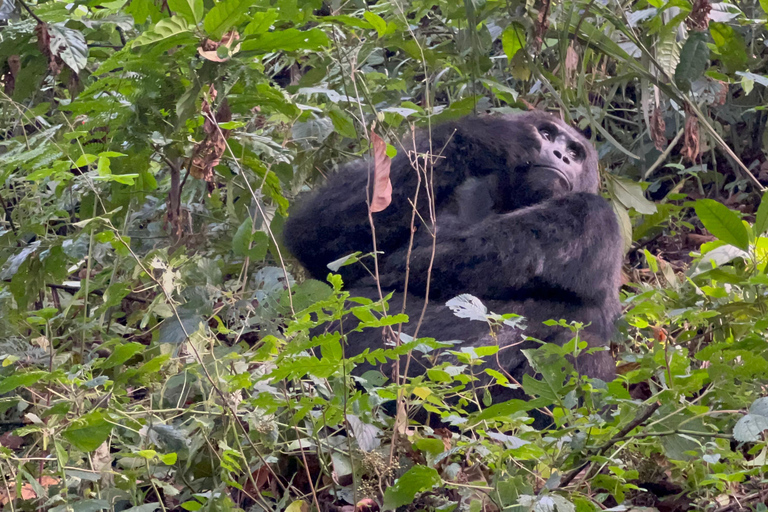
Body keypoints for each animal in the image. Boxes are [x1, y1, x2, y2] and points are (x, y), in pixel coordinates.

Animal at [282, 110, 624, 422]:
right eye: (547, 134)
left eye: (575, 153)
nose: (560, 155)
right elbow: (320, 240)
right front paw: (491, 137)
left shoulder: (596, 214)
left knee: (578, 335)